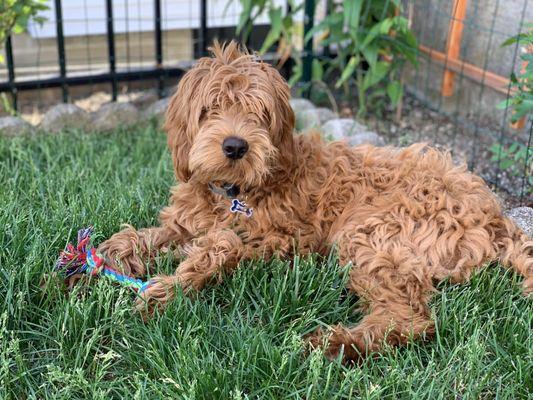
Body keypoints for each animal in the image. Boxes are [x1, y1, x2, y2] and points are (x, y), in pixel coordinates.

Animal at [97, 41, 528, 362]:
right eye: (209, 109)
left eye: (259, 113)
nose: (235, 146)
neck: (236, 191)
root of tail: (496, 217)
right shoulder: (184, 223)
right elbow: (141, 237)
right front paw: (93, 262)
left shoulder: (282, 241)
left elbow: (224, 245)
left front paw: (168, 288)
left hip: (370, 234)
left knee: (409, 318)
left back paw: (335, 345)